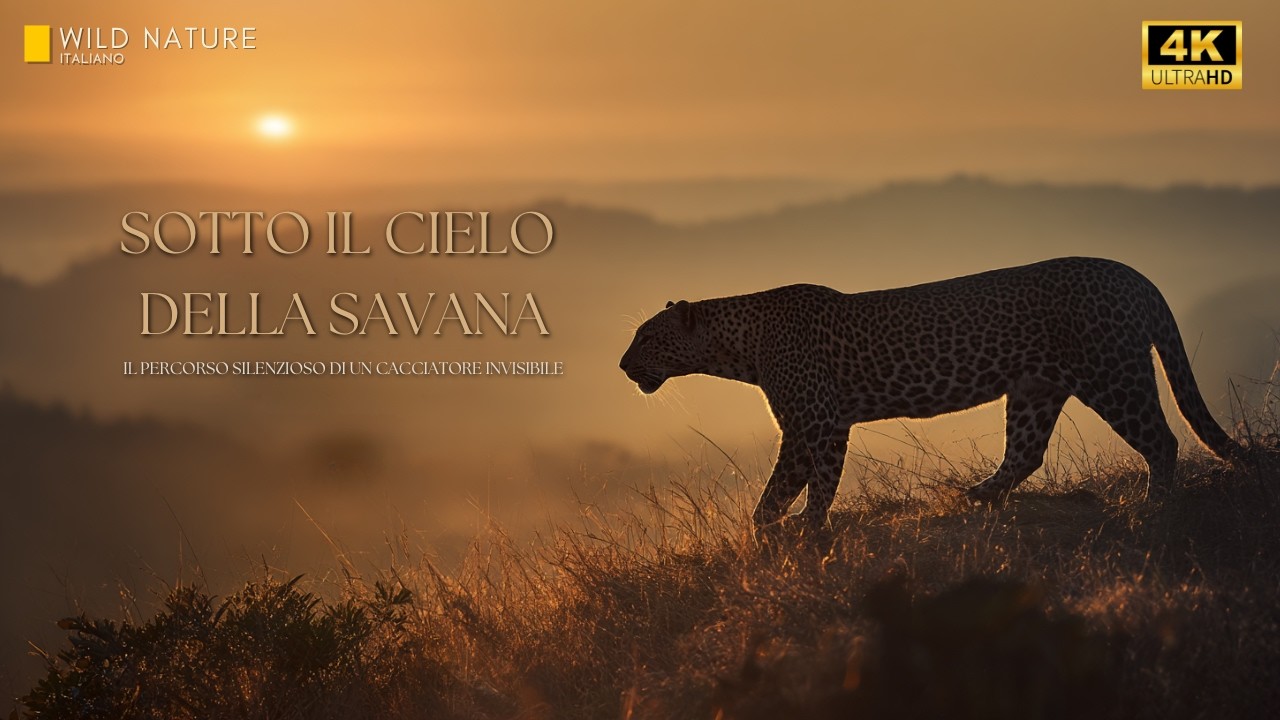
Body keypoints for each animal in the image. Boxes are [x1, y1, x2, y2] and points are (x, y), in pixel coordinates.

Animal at [618, 257, 1241, 533]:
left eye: (647, 337)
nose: (623, 366)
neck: (739, 347)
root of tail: (1134, 275)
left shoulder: (814, 425)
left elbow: (803, 487)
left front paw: (796, 530)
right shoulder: (812, 428)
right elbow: (790, 491)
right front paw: (777, 532)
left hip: (1113, 376)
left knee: (1162, 441)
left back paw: (1152, 506)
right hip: (1036, 388)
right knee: (1026, 452)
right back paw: (976, 496)